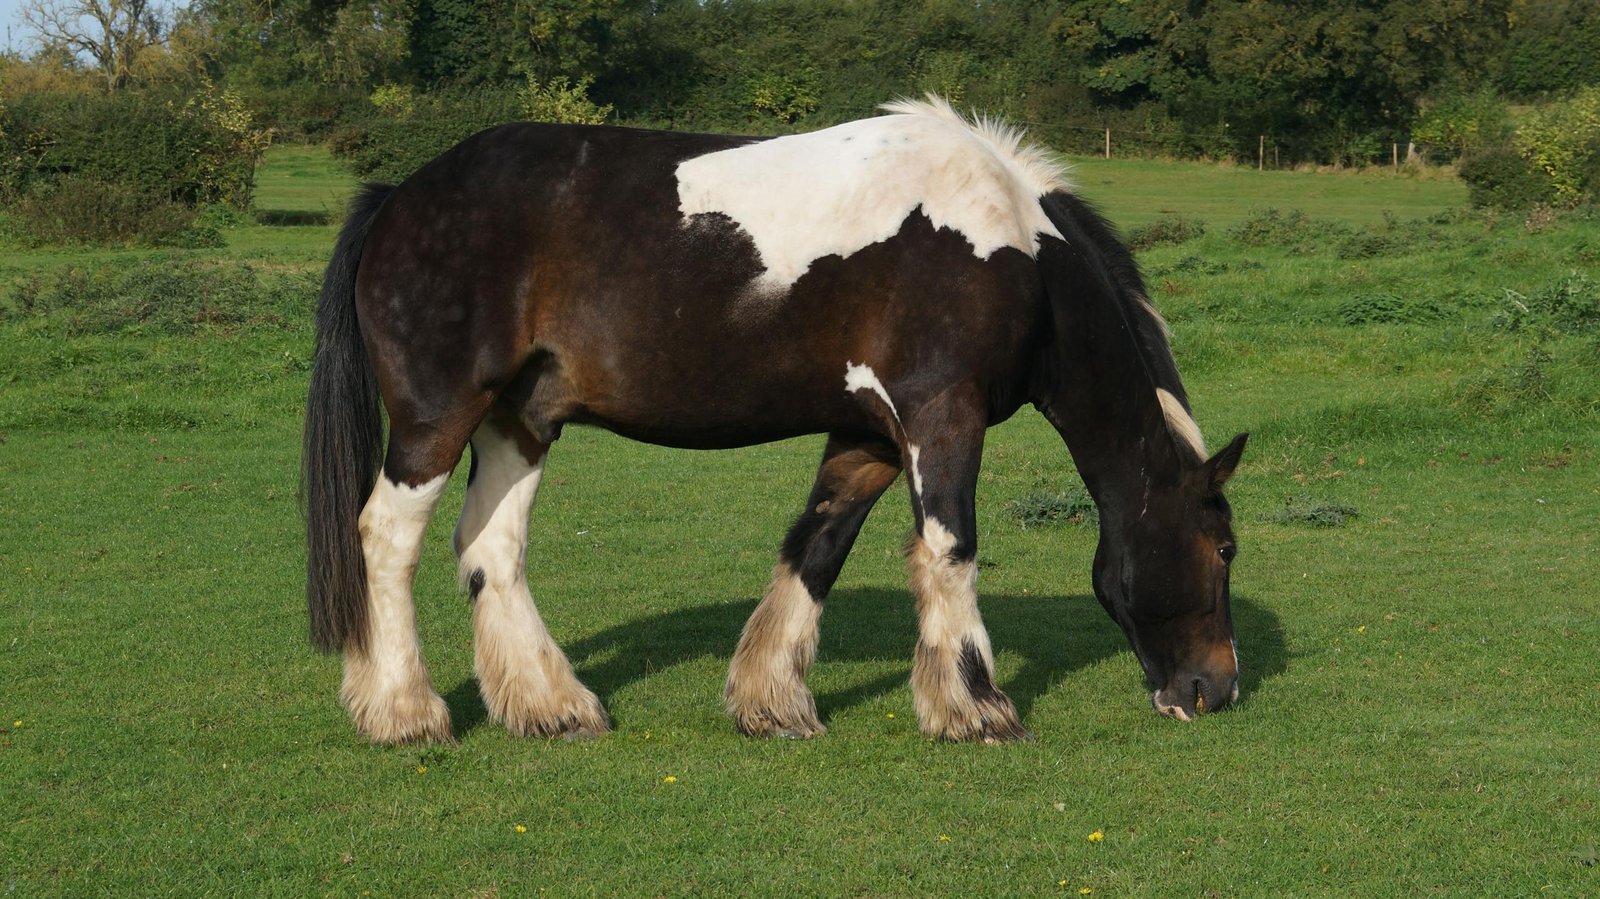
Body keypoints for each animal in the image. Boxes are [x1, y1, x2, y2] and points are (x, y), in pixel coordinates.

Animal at [302, 97, 1248, 745]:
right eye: (1225, 549)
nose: (1217, 690)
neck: (1008, 245)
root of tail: (401, 197)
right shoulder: (943, 415)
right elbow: (950, 551)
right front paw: (975, 706)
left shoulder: (871, 434)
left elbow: (817, 546)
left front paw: (771, 699)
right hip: (437, 418)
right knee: (386, 537)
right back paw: (403, 710)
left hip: (521, 419)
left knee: (491, 548)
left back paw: (551, 704)